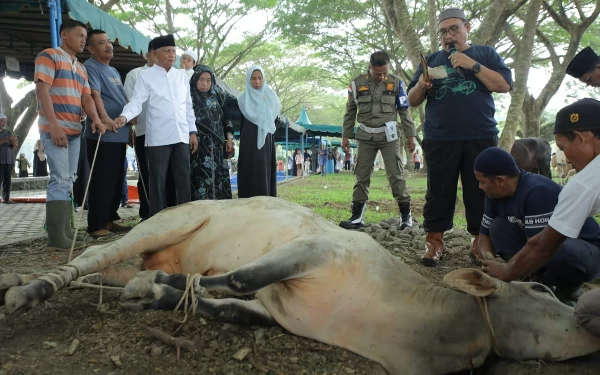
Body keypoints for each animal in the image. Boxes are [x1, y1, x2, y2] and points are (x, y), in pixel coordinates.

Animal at [1, 198, 600, 374]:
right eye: (543, 292)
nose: (589, 310)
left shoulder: (280, 315)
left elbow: (226, 304)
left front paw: (159, 293)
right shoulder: (312, 252)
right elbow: (238, 276)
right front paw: (164, 282)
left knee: (104, 275)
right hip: (164, 222)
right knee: (90, 258)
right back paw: (29, 290)